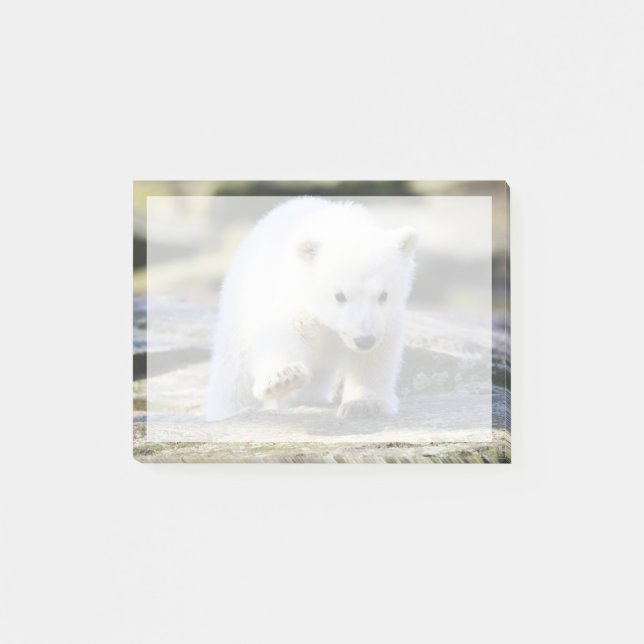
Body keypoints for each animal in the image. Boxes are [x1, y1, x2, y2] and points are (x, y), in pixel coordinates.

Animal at [205, 196, 418, 421]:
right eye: (339, 295)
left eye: (384, 295)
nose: (364, 340)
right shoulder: (297, 298)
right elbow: (282, 332)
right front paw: (283, 378)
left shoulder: (385, 320)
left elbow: (376, 355)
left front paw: (363, 404)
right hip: (240, 305)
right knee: (233, 374)